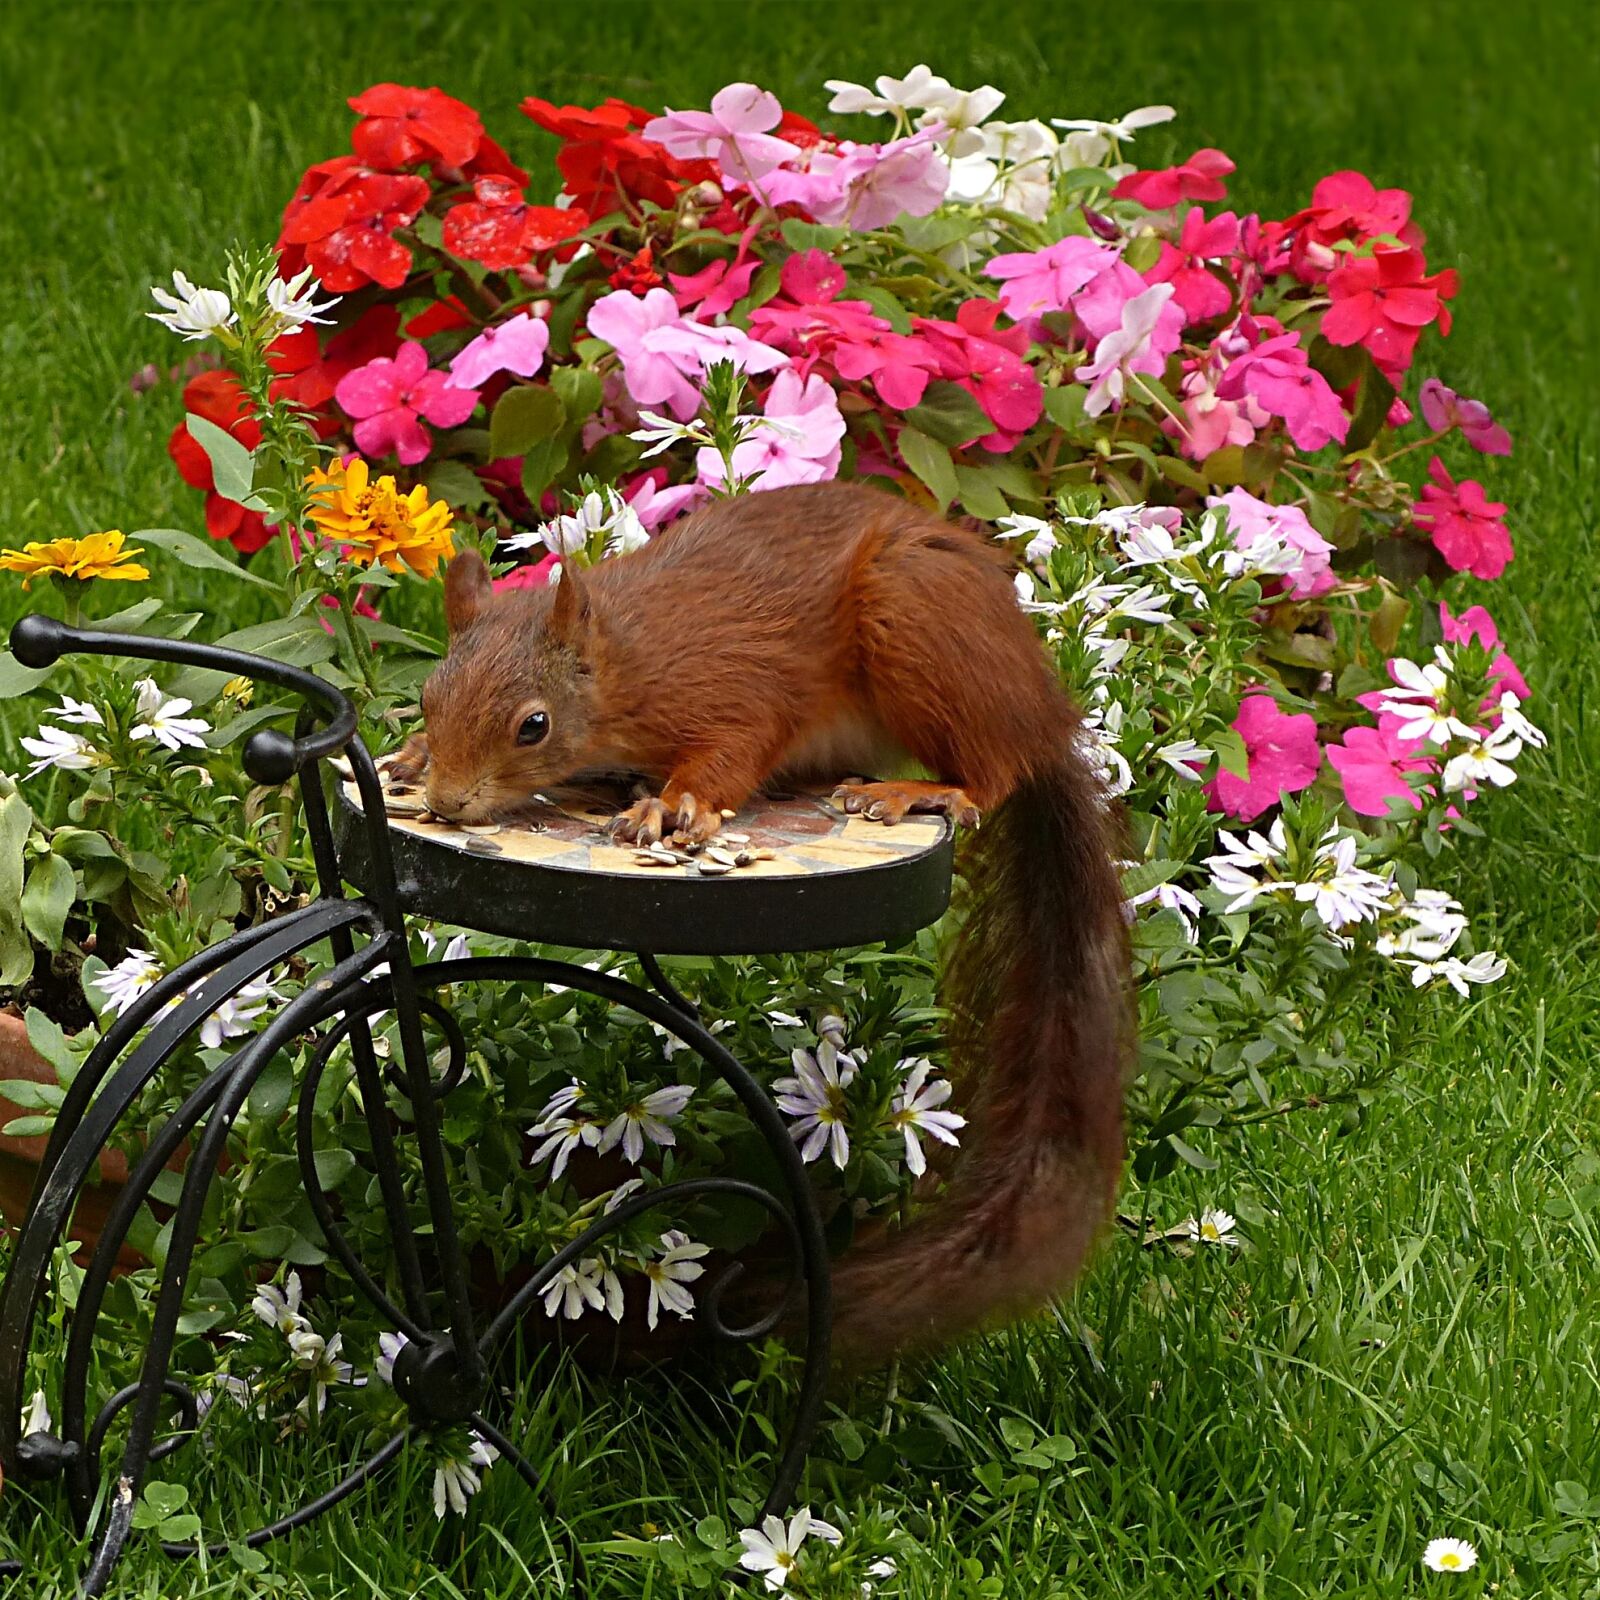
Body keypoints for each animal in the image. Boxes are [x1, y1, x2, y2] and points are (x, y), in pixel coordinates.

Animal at [393, 480, 1130, 1360]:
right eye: (430, 697)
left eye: (532, 725)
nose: (447, 803)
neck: (629, 660)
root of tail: (1043, 711)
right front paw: (409, 756)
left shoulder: (737, 688)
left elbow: (732, 751)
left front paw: (674, 804)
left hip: (920, 622)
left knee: (995, 767)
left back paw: (927, 790)